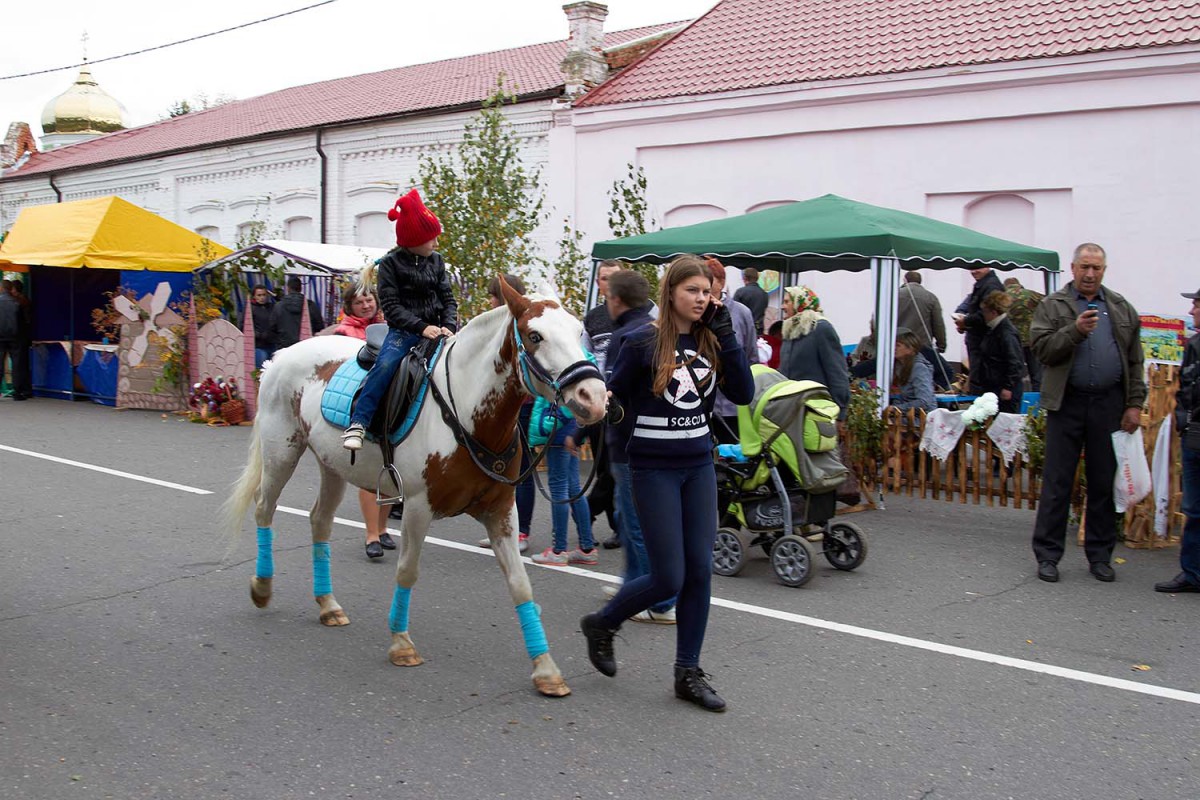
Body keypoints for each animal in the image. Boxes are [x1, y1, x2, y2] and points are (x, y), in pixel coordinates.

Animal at [223, 280, 609, 695]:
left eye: (577, 331)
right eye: (535, 336)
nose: (593, 398)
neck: (467, 415)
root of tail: (281, 356)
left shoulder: (501, 511)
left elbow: (521, 585)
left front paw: (546, 669)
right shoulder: (418, 507)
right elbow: (407, 571)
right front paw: (401, 644)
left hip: (332, 467)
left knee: (319, 522)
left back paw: (328, 604)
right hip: (281, 453)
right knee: (264, 509)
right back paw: (262, 587)